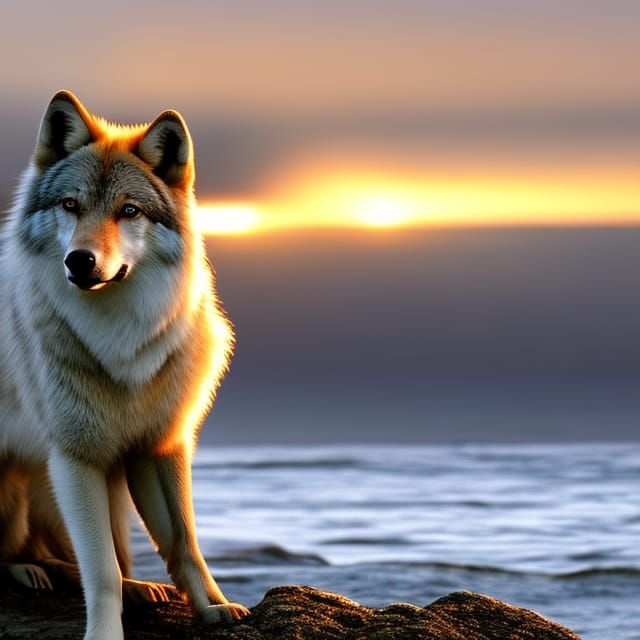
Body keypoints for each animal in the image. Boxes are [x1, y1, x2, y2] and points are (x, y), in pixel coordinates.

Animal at [0, 91, 250, 639]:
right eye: (70, 206)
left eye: (128, 211)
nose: (80, 261)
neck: (120, 340)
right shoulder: (76, 460)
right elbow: (103, 569)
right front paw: (103, 633)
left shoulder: (159, 445)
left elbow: (183, 543)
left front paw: (214, 607)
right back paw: (28, 571)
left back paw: (131, 588)